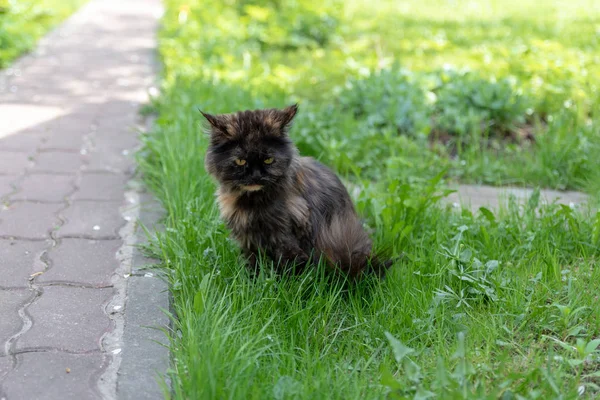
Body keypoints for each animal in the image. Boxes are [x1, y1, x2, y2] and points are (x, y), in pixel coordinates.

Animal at [199, 104, 392, 280]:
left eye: (268, 160)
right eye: (240, 161)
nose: (256, 176)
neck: (251, 202)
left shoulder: (285, 237)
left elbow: (288, 269)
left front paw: (281, 288)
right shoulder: (249, 240)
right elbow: (253, 264)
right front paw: (252, 282)